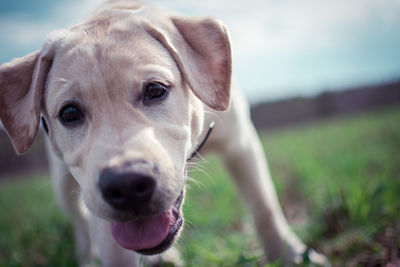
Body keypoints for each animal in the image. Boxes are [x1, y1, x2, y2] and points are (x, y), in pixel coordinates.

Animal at [0, 1, 326, 266]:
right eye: (69, 113)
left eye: (155, 90)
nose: (127, 185)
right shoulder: (98, 205)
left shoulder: (241, 143)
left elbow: (264, 207)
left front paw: (293, 256)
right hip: (63, 183)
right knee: (79, 224)